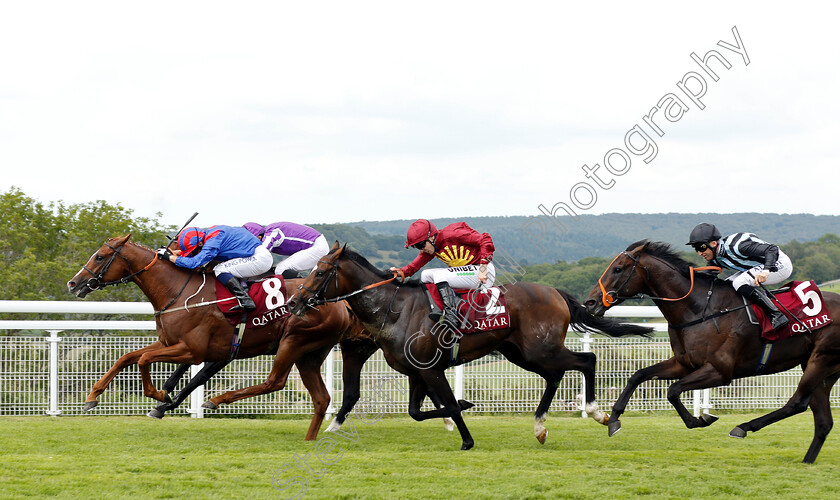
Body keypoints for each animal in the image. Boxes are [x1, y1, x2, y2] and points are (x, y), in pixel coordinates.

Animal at [67, 232, 376, 440]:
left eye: (100, 256)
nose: (74, 283)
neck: (178, 291)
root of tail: (340, 304)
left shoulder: (193, 351)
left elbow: (144, 361)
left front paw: (158, 394)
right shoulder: (170, 343)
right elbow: (127, 357)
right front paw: (92, 396)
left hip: (294, 341)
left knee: (275, 382)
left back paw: (216, 400)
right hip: (312, 353)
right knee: (322, 397)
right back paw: (311, 437)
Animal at [286, 242, 652, 450]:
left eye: (320, 272)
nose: (293, 301)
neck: (393, 308)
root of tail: (555, 292)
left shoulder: (432, 370)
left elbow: (446, 404)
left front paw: (466, 436)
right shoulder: (419, 372)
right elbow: (417, 412)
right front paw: (463, 408)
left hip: (541, 349)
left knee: (587, 359)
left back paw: (599, 414)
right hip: (522, 353)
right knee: (555, 375)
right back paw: (540, 427)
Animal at [580, 240, 840, 462]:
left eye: (618, 269)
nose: (590, 302)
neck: (699, 309)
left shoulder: (720, 371)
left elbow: (673, 390)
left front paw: (701, 419)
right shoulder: (684, 363)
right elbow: (638, 375)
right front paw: (613, 419)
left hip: (820, 360)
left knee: (797, 403)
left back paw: (743, 427)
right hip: (821, 369)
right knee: (823, 421)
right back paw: (807, 461)